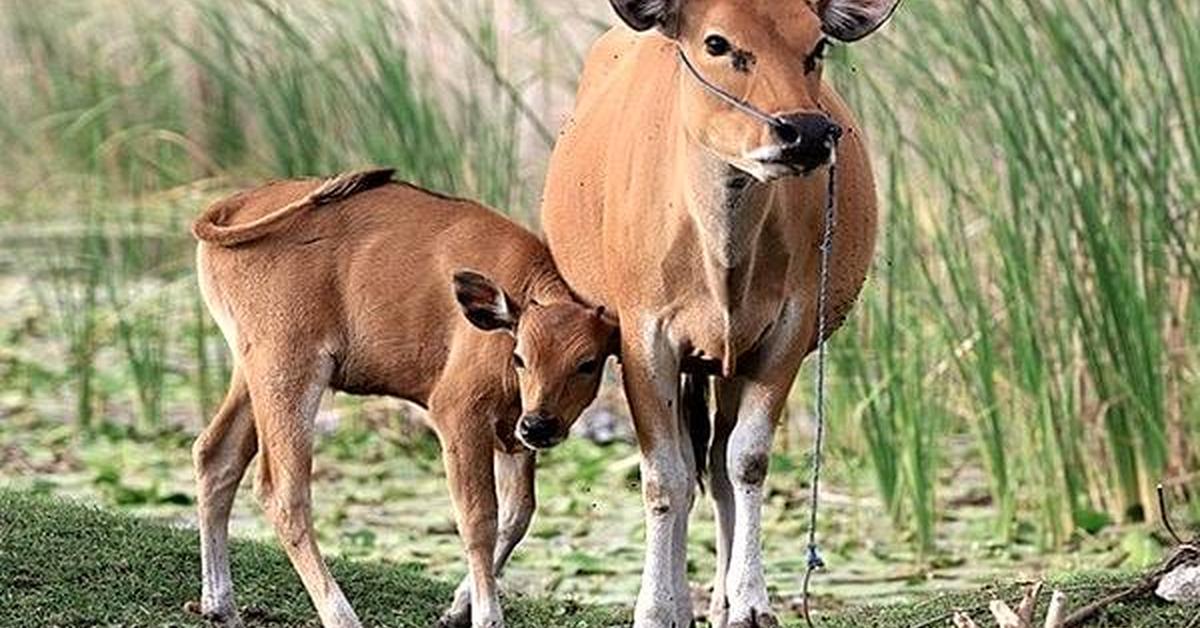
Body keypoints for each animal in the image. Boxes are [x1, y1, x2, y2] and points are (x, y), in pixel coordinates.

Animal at [189, 166, 619, 628]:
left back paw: (219, 604)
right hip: (289, 368)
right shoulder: (458, 414)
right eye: (520, 356)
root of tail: (234, 205)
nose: (540, 425)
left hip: (250, 370)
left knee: (215, 455)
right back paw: (341, 616)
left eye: (587, 362)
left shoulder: (512, 432)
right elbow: (478, 520)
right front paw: (487, 616)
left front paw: (458, 607)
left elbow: (517, 515)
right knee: (283, 491)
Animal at [542, 1, 902, 628]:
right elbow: (664, 477)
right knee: (691, 465)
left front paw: (751, 601)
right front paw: (657, 607)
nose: (806, 133)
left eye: (817, 46)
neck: (720, 256)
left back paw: (720, 598)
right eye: (716, 43)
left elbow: (747, 462)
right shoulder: (645, 341)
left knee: (715, 463)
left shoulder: (783, 335)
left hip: (728, 363)